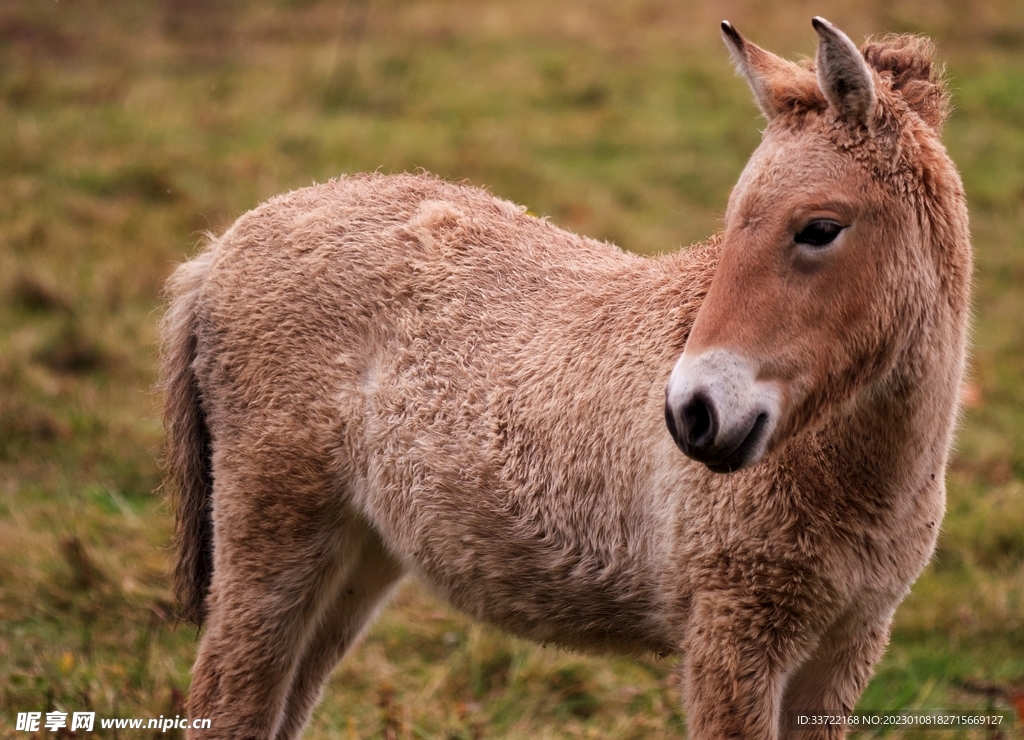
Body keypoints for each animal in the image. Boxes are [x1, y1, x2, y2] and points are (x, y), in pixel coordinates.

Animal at [160, 17, 970, 739]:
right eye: (732, 220)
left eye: (820, 229)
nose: (693, 415)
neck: (856, 476)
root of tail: (221, 248)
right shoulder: (732, 639)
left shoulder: (843, 649)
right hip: (273, 539)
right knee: (226, 703)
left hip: (356, 558)